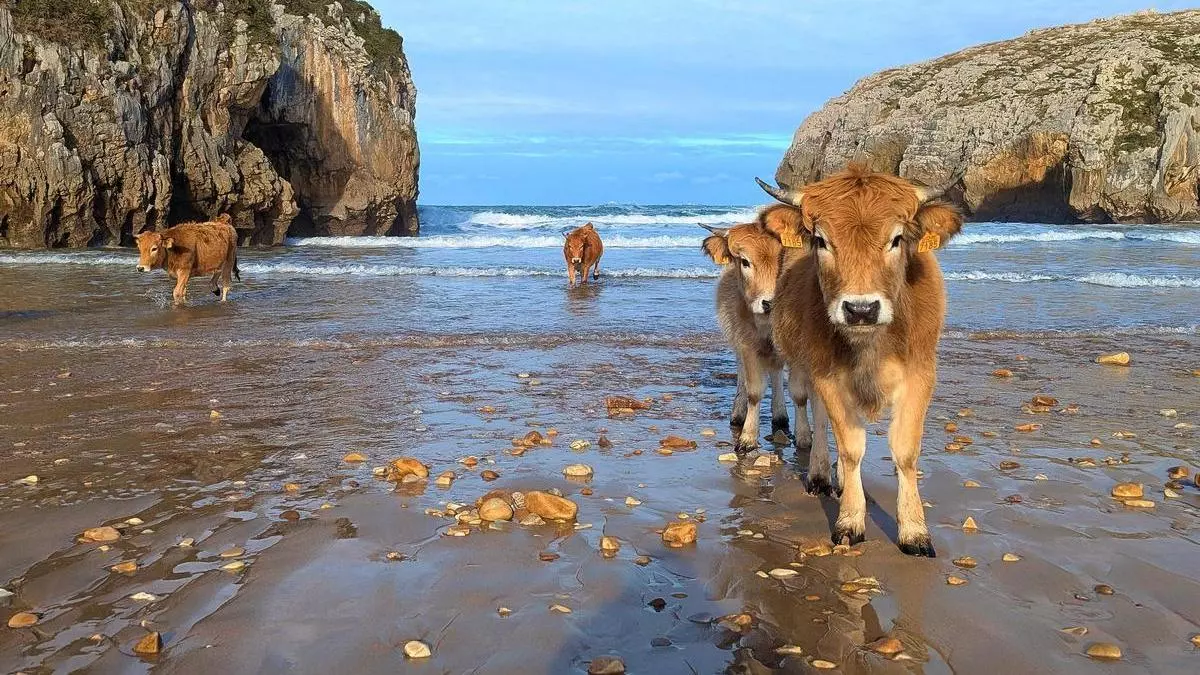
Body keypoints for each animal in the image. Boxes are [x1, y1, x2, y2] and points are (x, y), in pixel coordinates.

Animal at [700, 210, 811, 453]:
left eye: (782, 257)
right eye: (744, 261)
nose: (769, 303)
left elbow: (799, 394)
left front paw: (804, 436)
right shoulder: (747, 344)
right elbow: (754, 391)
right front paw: (748, 437)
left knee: (776, 372)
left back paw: (780, 416)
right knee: (743, 374)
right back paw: (738, 413)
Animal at [756, 165, 963, 557]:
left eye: (897, 239)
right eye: (821, 240)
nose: (861, 309)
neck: (871, 347)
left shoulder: (920, 374)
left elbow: (905, 452)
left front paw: (914, 531)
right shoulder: (828, 375)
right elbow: (851, 448)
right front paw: (850, 520)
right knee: (814, 412)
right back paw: (820, 471)